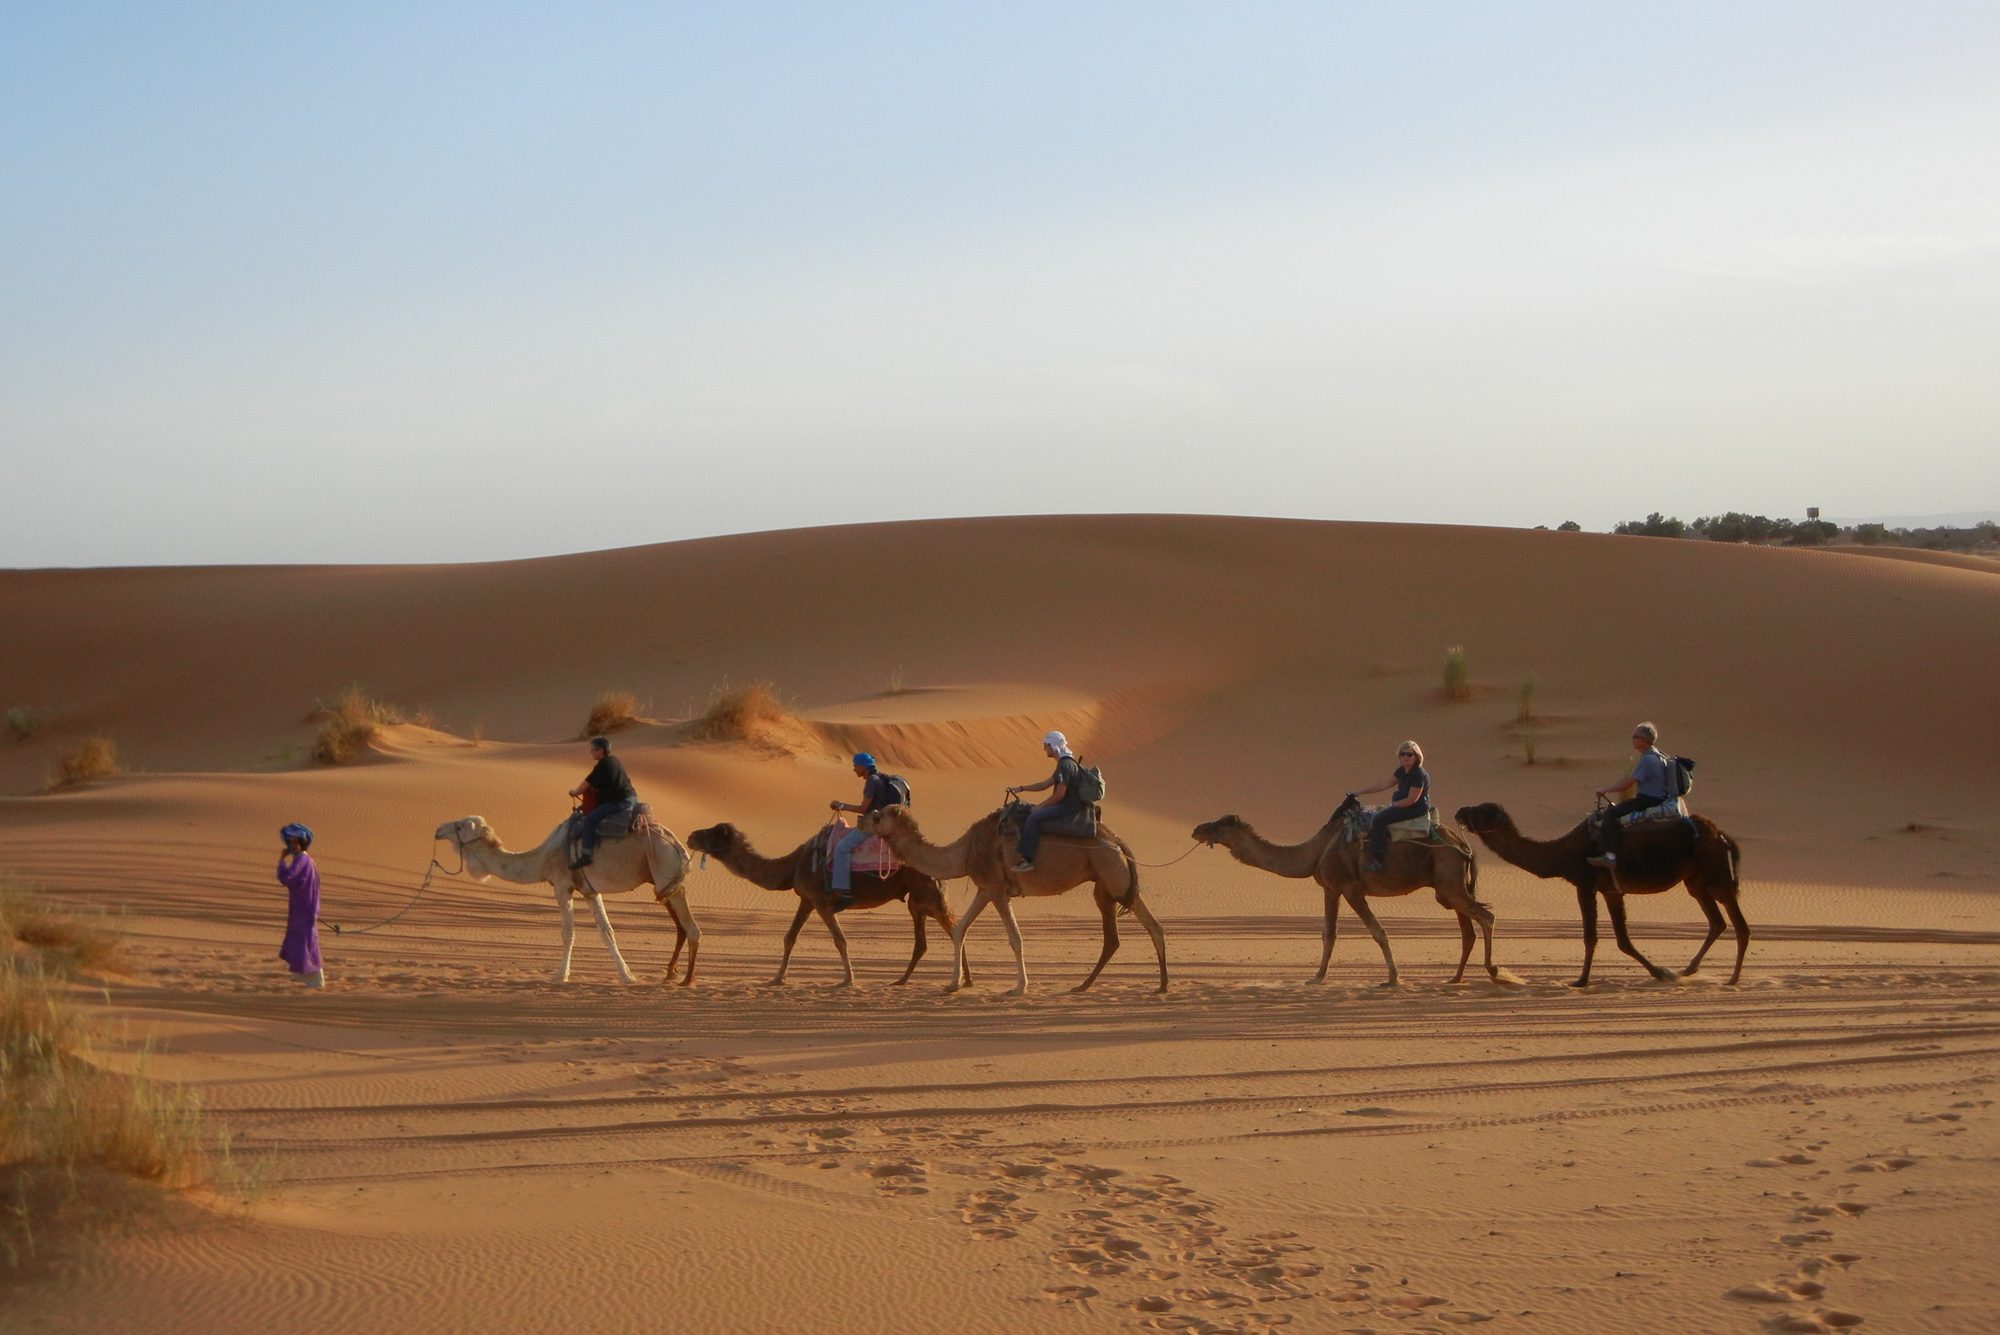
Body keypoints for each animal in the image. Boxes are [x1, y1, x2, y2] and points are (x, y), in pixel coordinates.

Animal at [433, 814, 700, 985]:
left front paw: (560, 975)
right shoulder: (590, 891)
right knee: (683, 927)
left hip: (667, 877)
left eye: (459, 826)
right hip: (667, 885)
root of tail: (677, 845)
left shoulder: (562, 886)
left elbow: (567, 932)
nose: (438, 830)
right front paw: (627, 975)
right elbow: (607, 931)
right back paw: (673, 974)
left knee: (691, 928)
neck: (542, 859)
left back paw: (685, 980)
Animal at [684, 822, 969, 987]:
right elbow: (789, 937)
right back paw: (908, 980)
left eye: (715, 832)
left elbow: (840, 939)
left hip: (927, 892)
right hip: (917, 899)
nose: (691, 836)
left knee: (953, 928)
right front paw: (777, 978)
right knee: (930, 938)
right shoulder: (807, 899)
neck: (792, 864)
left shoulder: (821, 901)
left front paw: (848, 979)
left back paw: (959, 980)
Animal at [862, 804, 1167, 996]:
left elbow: (1015, 938)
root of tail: (1117, 840)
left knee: (1151, 925)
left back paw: (1161, 985)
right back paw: (1087, 986)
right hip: (1105, 883)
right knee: (1117, 936)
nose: (861, 819)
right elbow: (960, 929)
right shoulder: (985, 889)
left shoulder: (998, 891)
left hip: (1114, 874)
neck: (965, 851)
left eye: (878, 815)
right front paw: (952, 984)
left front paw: (1018, 987)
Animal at [1194, 795, 1501, 986]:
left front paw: (1393, 978)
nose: (1197, 829)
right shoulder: (1331, 889)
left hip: (1448, 879)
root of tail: (1463, 846)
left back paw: (1494, 971)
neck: (1316, 851)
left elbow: (1378, 932)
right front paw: (1317, 977)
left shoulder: (1352, 888)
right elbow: (1328, 935)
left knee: (1486, 917)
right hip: (1448, 887)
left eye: (1220, 824)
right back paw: (1455, 978)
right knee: (1467, 929)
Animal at [1454, 802, 1747, 986]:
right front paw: (1662, 972)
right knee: (1717, 922)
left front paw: (1581, 980)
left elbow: (1590, 936)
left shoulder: (1585, 884)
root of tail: (1722, 835)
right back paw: (1689, 969)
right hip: (1696, 879)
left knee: (1738, 924)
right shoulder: (1610, 890)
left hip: (1715, 871)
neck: (1561, 854)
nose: (1459, 811)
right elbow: (1623, 940)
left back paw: (1732, 979)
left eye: (1480, 811)